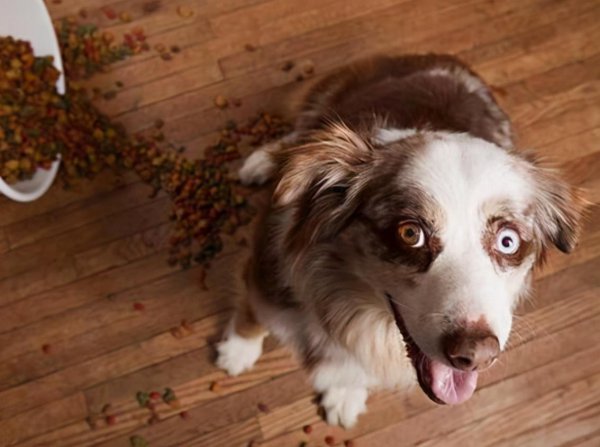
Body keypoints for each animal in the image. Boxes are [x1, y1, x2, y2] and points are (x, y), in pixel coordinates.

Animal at [213, 54, 584, 428]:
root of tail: (441, 59)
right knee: (300, 136)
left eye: (508, 241)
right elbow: (251, 317)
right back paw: (263, 161)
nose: (476, 355)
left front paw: (345, 394)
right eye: (410, 233)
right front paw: (237, 352)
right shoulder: (267, 274)